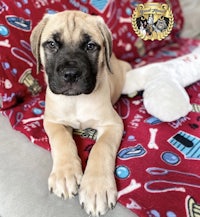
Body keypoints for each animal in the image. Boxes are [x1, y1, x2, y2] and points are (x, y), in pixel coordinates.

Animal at [30, 10, 131, 217]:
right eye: (51, 44)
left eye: (90, 46)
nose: (70, 74)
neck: (75, 100)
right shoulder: (52, 121)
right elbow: (61, 139)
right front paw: (65, 174)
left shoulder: (113, 124)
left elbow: (101, 148)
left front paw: (97, 188)